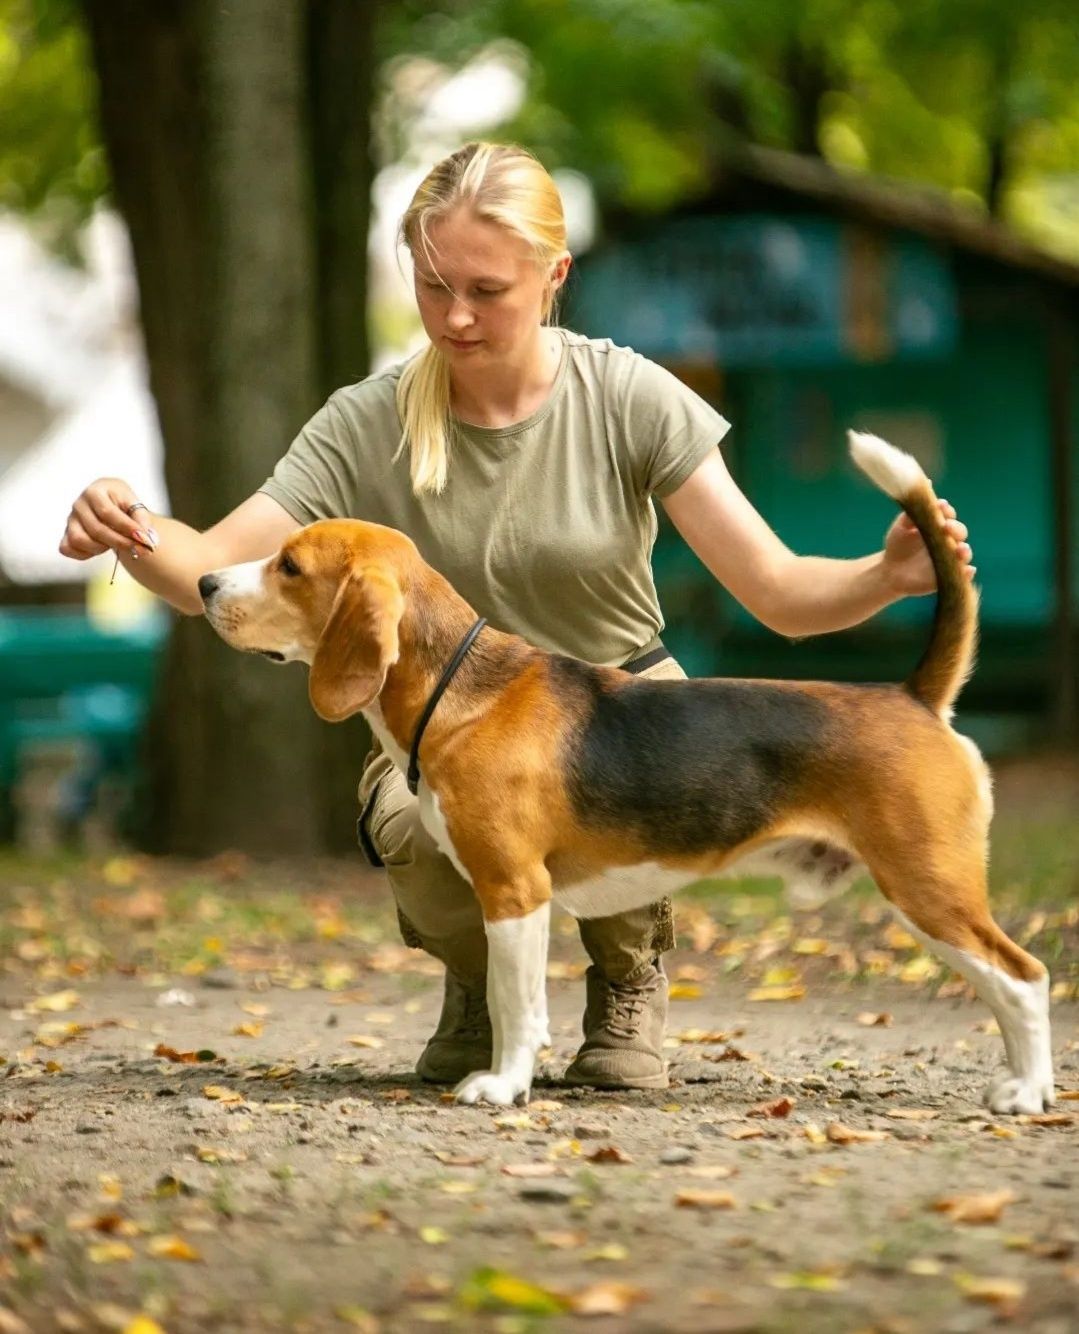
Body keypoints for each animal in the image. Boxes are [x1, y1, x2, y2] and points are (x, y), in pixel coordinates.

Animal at [200, 437, 1050, 1115]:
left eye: (289, 567)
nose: (206, 585)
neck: (458, 687)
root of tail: (911, 695)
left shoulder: (514, 889)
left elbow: (516, 1001)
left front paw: (501, 1086)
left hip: (928, 886)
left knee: (1024, 977)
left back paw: (1027, 1092)